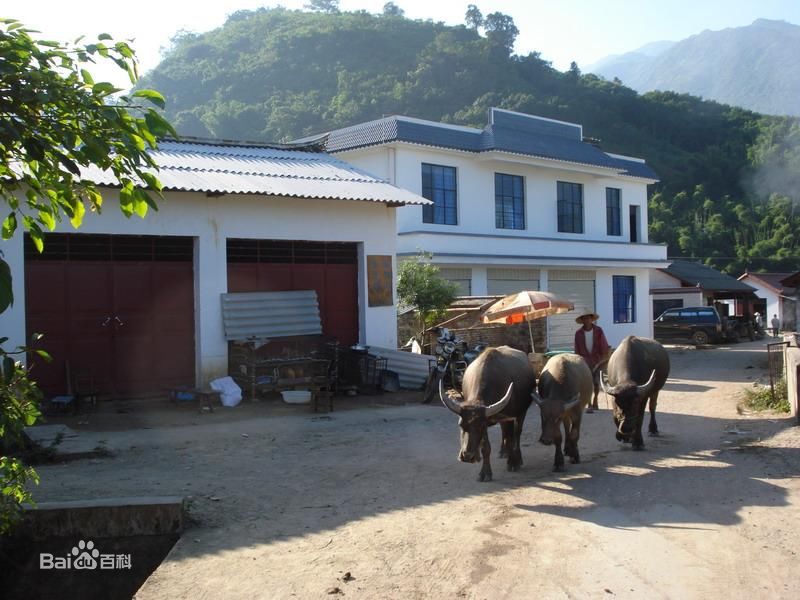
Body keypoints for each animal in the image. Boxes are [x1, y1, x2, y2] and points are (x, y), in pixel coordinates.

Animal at [440, 344, 536, 480]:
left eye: (480, 427)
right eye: (460, 425)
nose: (467, 456)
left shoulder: (506, 417)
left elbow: (512, 438)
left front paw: (513, 463)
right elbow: (486, 447)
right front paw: (485, 473)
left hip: (521, 413)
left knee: (516, 434)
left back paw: (516, 457)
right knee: (504, 432)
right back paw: (503, 452)